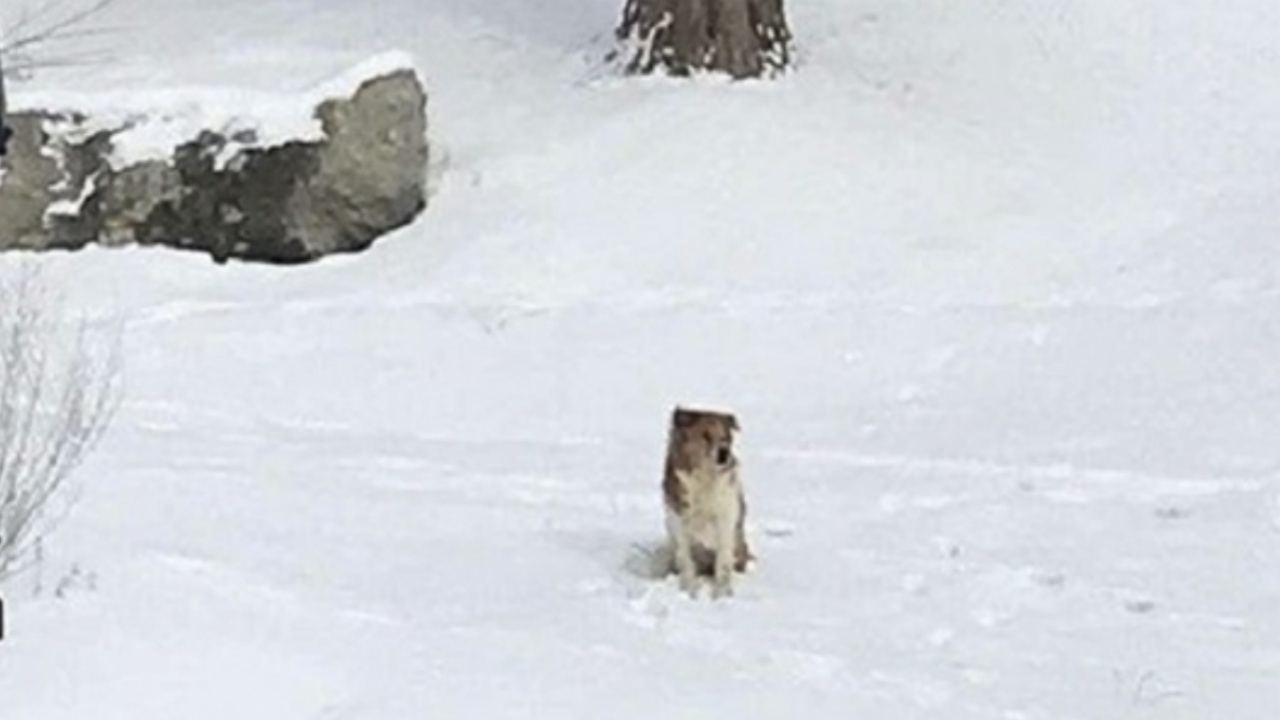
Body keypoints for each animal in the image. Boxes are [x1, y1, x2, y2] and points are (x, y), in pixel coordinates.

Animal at [660, 407, 747, 597]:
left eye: (725, 437)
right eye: (705, 436)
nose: (724, 453)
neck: (705, 478)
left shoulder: (726, 518)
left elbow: (723, 563)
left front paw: (722, 595)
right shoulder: (679, 521)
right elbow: (686, 561)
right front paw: (689, 592)